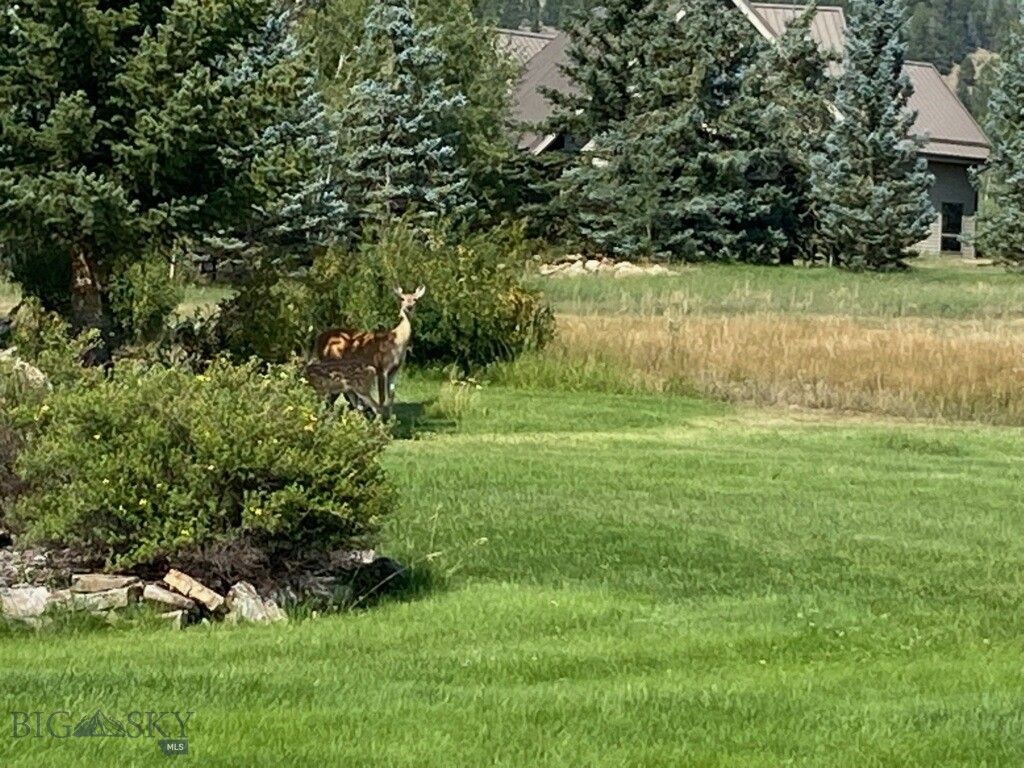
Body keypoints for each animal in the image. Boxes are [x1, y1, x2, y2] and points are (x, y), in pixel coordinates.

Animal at [311, 285, 426, 419]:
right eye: (402, 298)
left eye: (415, 299)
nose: (409, 307)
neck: (396, 341)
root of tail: (318, 339)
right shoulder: (381, 367)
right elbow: (382, 398)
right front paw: (382, 419)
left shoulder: (395, 370)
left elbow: (391, 396)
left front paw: (391, 418)